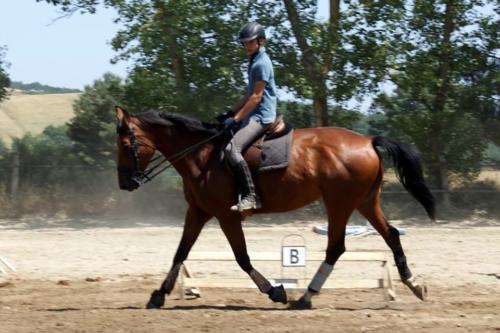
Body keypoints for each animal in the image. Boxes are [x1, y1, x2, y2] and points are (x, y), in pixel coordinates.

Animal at [115, 106, 436, 308]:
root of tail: (368, 140)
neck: (202, 156)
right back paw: (414, 284)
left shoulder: (225, 215)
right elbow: (180, 253)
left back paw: (306, 297)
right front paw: (159, 295)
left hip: (340, 203)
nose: (124, 183)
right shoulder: (198, 211)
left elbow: (242, 257)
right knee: (390, 234)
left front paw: (275, 292)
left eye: (125, 144)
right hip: (366, 201)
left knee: (336, 247)